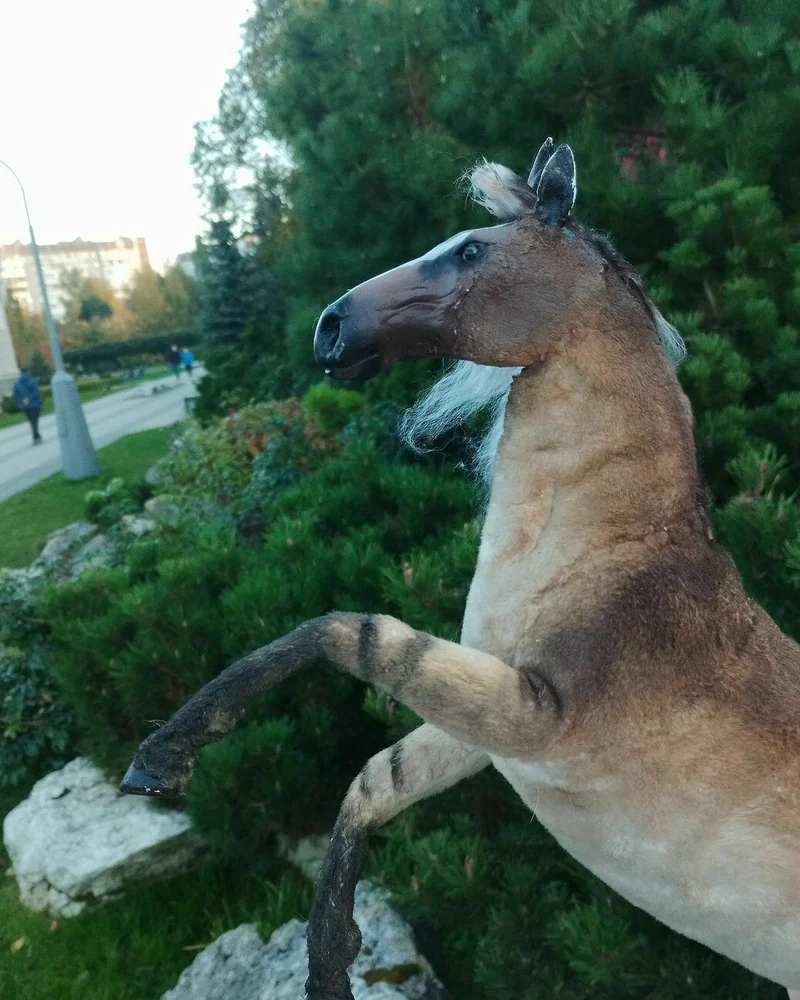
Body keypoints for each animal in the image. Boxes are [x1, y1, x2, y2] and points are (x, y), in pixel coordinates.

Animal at [122, 139, 800, 999]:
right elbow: (377, 777)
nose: (331, 328)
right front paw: (330, 963)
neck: (616, 563)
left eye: (472, 250)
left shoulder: (540, 717)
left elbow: (352, 635)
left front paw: (163, 758)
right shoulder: (495, 730)